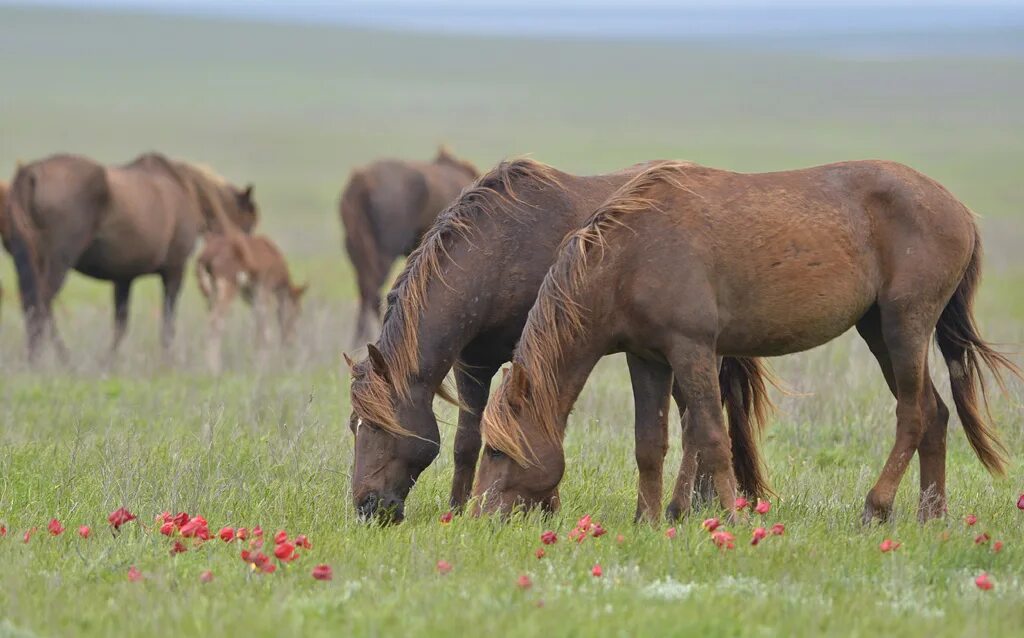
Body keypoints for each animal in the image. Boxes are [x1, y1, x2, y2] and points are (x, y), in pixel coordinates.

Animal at [5, 149, 260, 360]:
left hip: (25, 263)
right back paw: (62, 358)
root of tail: (30, 173)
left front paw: (109, 362)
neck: (185, 189)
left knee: (31, 306)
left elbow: (121, 324)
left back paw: (36, 358)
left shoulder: (123, 277)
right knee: (43, 303)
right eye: (248, 227)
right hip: (58, 262)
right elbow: (167, 324)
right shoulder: (174, 270)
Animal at [348, 158, 770, 524]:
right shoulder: (474, 364)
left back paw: (691, 504)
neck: (499, 250)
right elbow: (466, 442)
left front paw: (545, 508)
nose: (366, 506)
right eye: (355, 425)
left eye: (378, 426)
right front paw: (457, 508)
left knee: (694, 422)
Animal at [475, 159, 1019, 524]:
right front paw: (646, 521)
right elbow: (649, 443)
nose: (477, 517)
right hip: (878, 330)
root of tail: (957, 209)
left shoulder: (692, 350)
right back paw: (932, 515)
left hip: (905, 326)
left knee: (914, 413)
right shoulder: (646, 358)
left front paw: (727, 519)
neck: (630, 256)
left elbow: (712, 436)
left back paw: (876, 506)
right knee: (935, 413)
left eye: (497, 451)